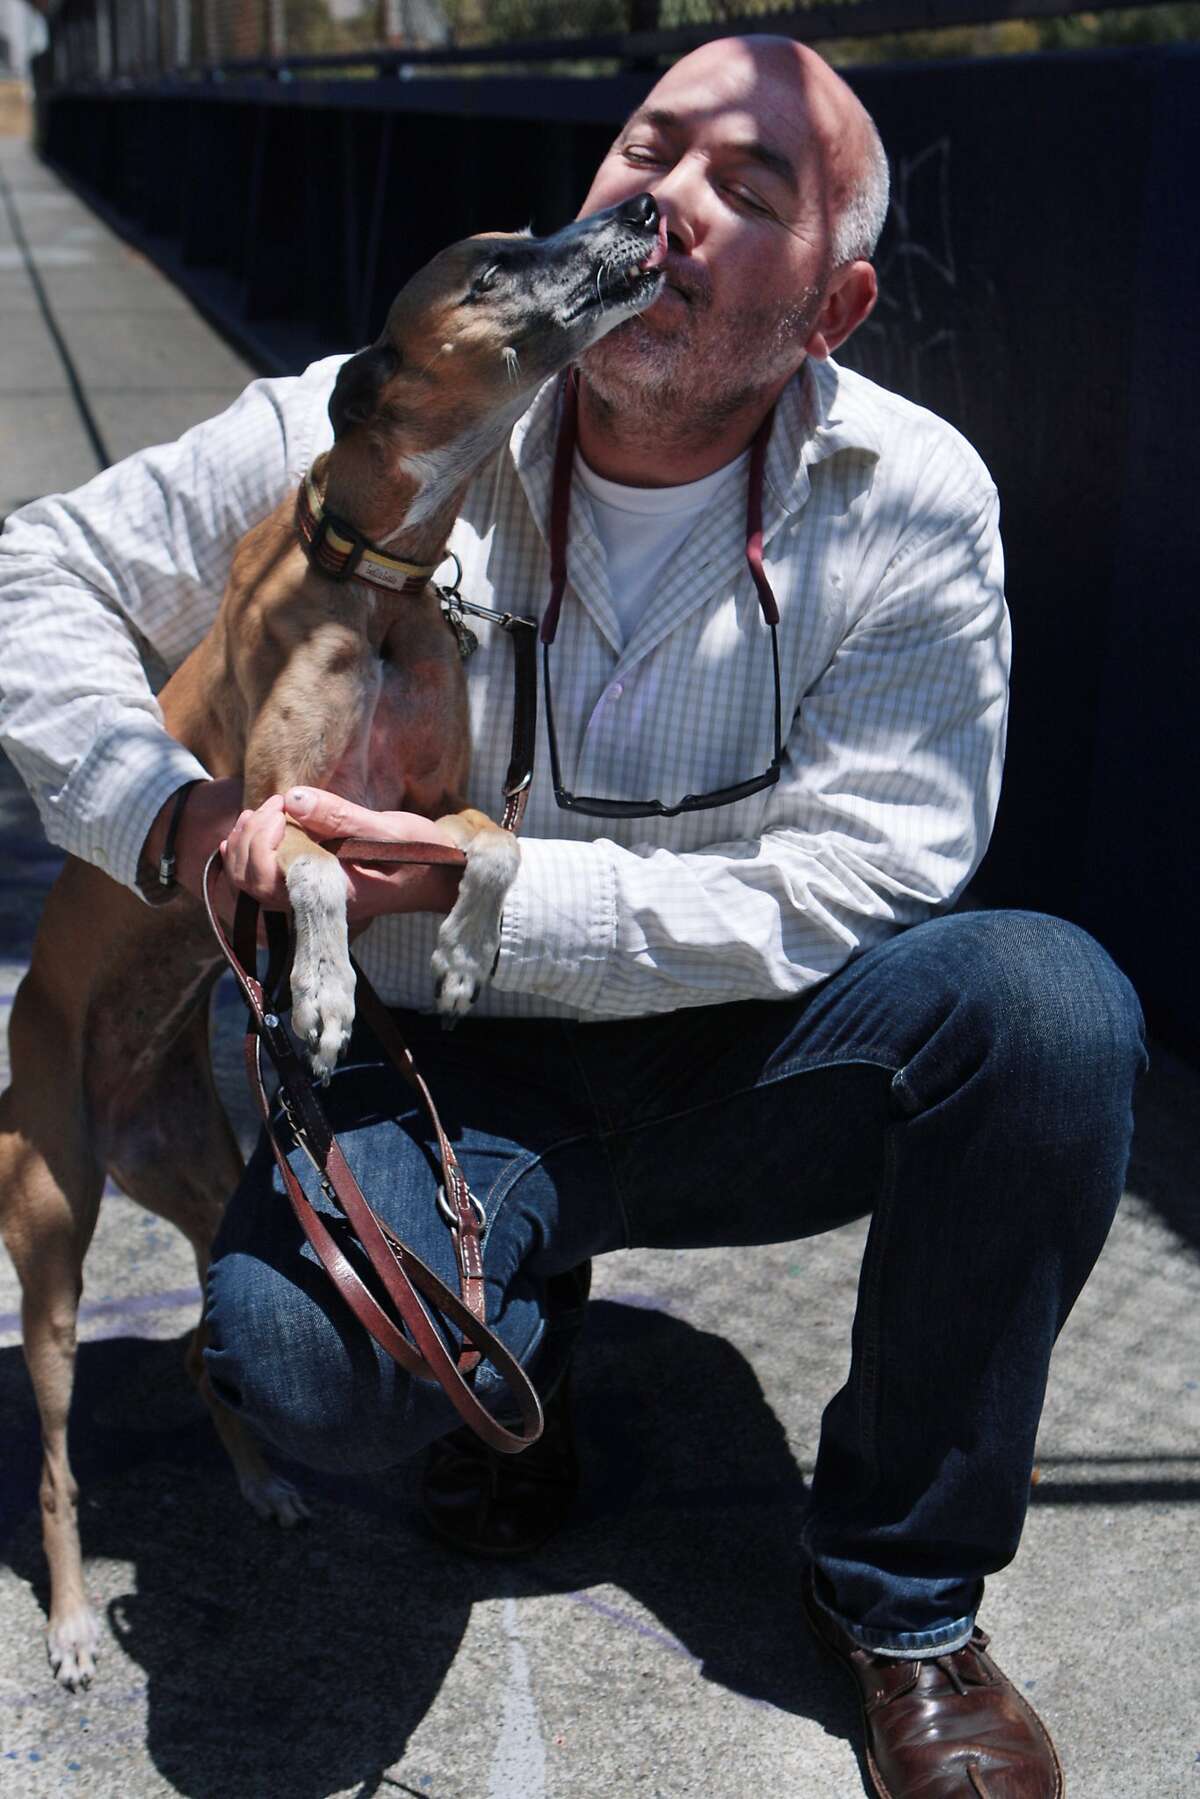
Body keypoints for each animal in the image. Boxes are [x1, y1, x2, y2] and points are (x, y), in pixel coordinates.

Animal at [0, 196, 665, 1683]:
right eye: (496, 260)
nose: (642, 209)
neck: (374, 581)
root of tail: (101, 1102)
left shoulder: (417, 813)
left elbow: (496, 845)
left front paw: (467, 955)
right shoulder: (262, 816)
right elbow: (296, 864)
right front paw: (313, 989)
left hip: (207, 1191)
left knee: (211, 1357)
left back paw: (262, 1481)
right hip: (52, 1241)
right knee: (56, 1456)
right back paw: (69, 1619)